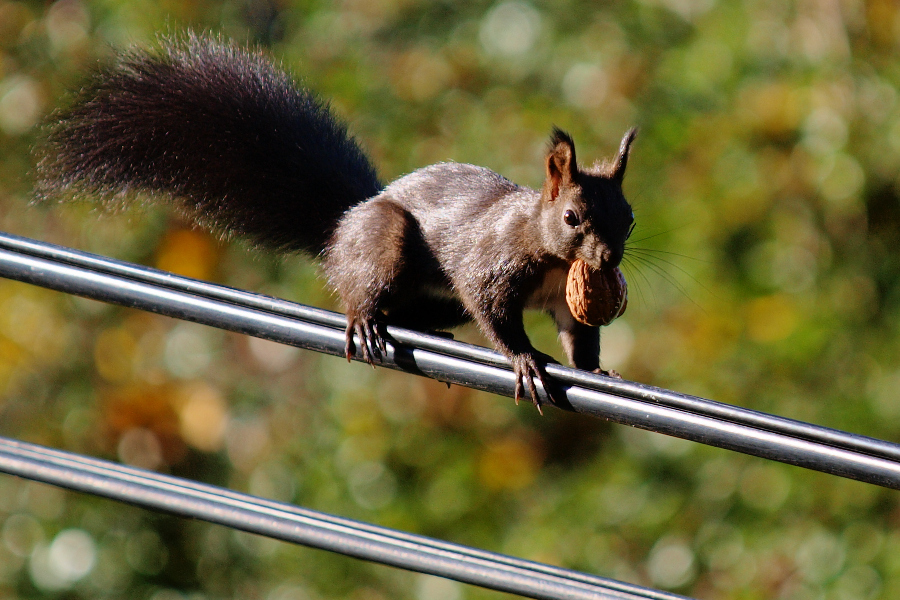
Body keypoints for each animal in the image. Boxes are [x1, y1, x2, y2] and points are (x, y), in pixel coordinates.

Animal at [35, 35, 636, 410]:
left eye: (628, 219)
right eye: (572, 217)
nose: (609, 259)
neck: (551, 255)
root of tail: (344, 223)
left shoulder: (564, 298)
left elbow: (579, 336)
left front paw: (595, 373)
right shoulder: (491, 262)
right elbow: (494, 312)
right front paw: (526, 360)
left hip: (434, 297)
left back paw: (425, 329)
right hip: (387, 243)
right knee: (363, 289)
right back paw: (365, 318)